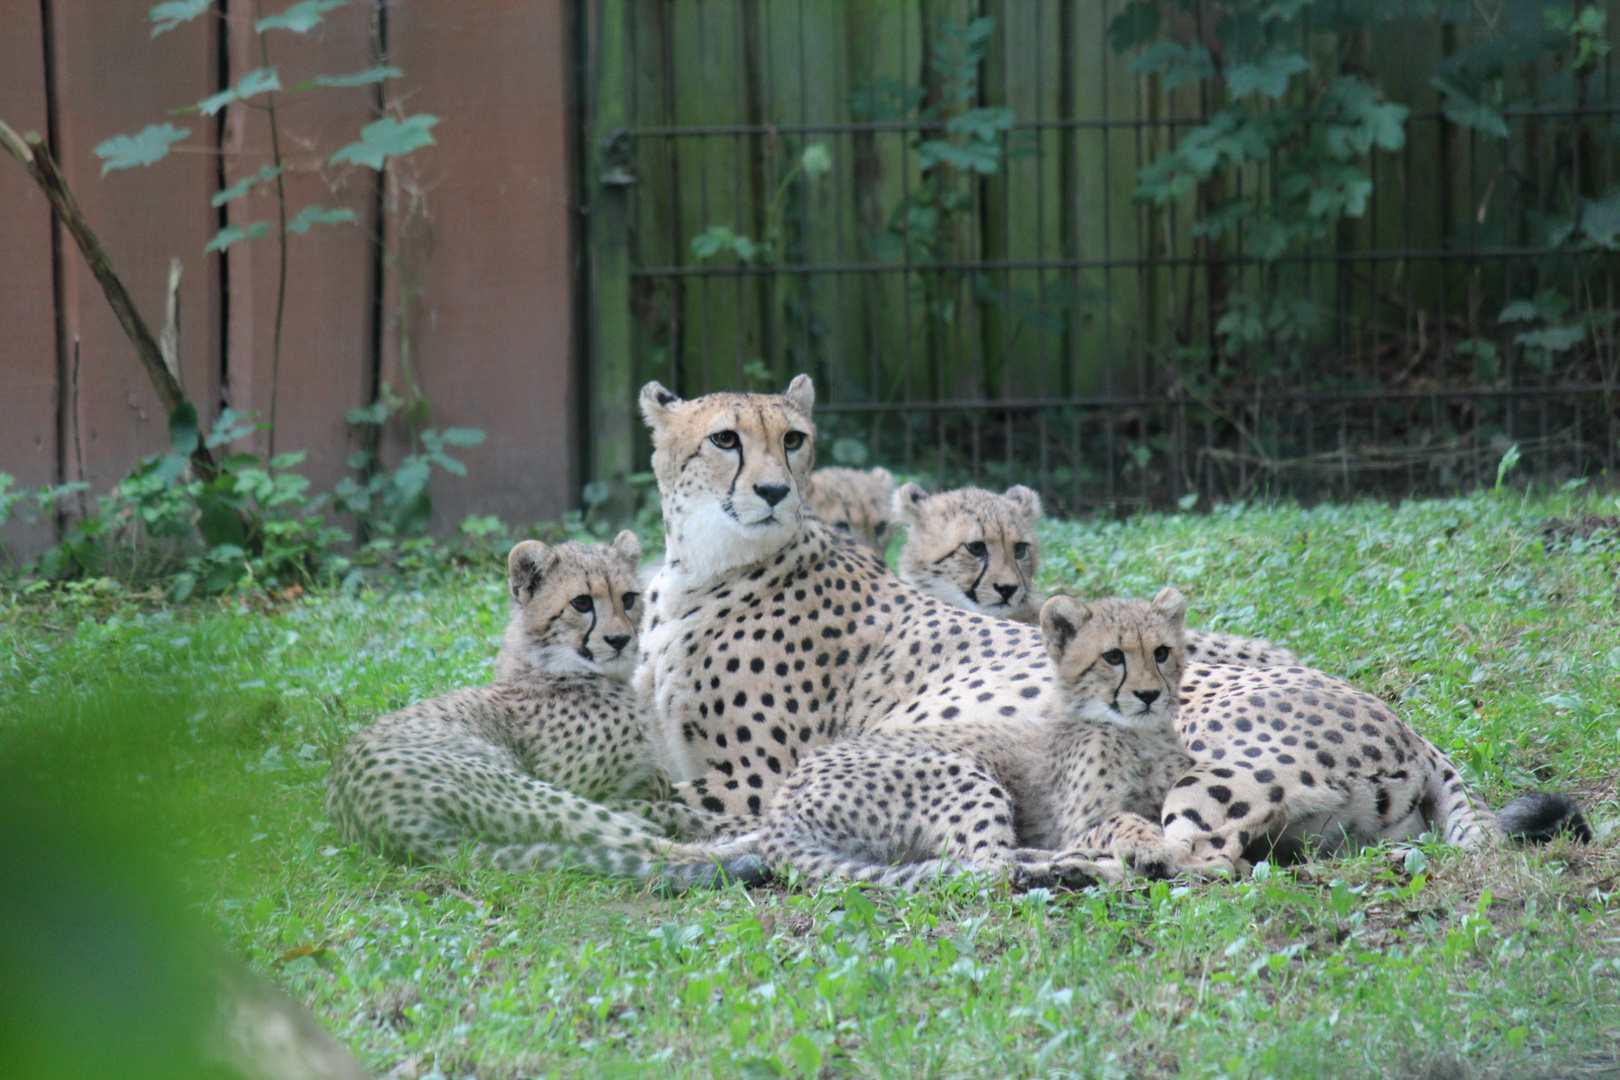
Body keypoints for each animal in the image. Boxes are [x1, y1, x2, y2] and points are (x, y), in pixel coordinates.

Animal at [328, 534, 764, 893]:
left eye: (628, 598)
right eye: (582, 603)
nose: (620, 640)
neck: (552, 668)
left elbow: (661, 792)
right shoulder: (583, 788)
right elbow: (670, 809)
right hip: (522, 791)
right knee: (651, 845)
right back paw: (752, 845)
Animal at [754, 592, 1192, 887]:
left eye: (1161, 652)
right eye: (1113, 656)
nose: (1149, 695)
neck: (1139, 736)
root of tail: (777, 809)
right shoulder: (1075, 822)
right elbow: (1120, 819)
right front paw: (1149, 846)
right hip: (956, 771)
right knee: (989, 863)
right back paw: (1061, 868)